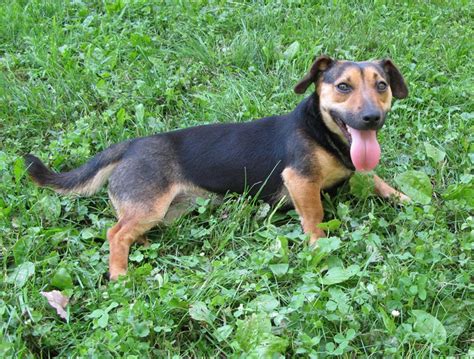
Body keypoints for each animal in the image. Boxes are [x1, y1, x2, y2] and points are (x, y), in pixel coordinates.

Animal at [25, 56, 412, 282]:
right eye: (343, 86)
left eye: (382, 85)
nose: (371, 118)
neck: (321, 131)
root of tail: (130, 145)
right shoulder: (300, 180)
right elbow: (315, 217)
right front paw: (320, 247)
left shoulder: (359, 170)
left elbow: (378, 180)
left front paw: (407, 199)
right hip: (150, 205)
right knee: (115, 234)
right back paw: (120, 274)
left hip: (165, 212)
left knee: (128, 230)